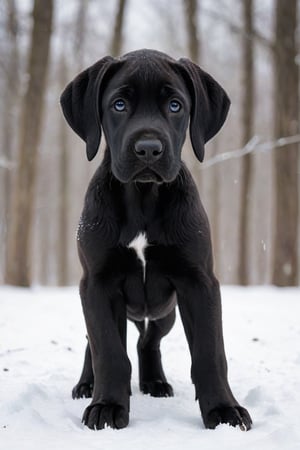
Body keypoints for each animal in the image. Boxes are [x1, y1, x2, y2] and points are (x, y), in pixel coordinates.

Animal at [59, 49, 252, 432]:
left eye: (175, 106)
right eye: (118, 105)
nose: (148, 149)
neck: (143, 197)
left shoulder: (199, 282)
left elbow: (210, 352)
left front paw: (224, 410)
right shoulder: (97, 284)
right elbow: (108, 351)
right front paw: (106, 406)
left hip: (164, 310)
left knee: (148, 340)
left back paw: (155, 382)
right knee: (97, 343)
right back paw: (88, 385)